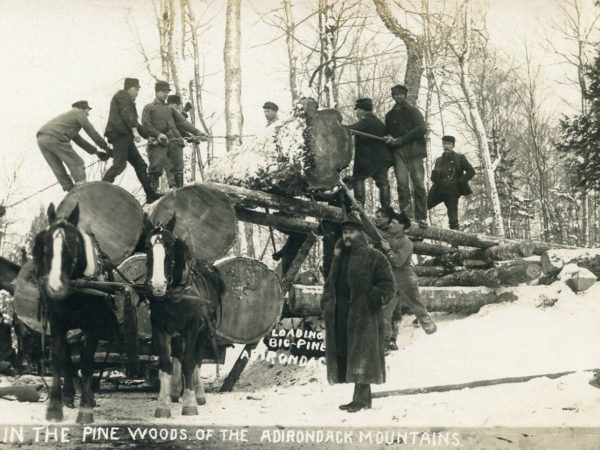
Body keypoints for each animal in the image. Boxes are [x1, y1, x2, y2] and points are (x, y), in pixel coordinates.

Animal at [32, 203, 123, 422]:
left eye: (71, 245)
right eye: (45, 245)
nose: (55, 287)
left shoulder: (93, 324)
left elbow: (87, 362)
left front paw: (85, 410)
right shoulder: (57, 322)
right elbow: (59, 359)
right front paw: (55, 408)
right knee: (67, 357)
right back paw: (68, 395)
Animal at [144, 214, 225, 418]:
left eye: (170, 248)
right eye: (147, 248)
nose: (158, 285)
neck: (175, 295)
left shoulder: (192, 329)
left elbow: (189, 363)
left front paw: (189, 403)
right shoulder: (161, 329)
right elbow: (165, 365)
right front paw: (163, 405)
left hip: (203, 332)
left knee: (196, 359)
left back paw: (198, 393)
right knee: (178, 357)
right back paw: (174, 392)